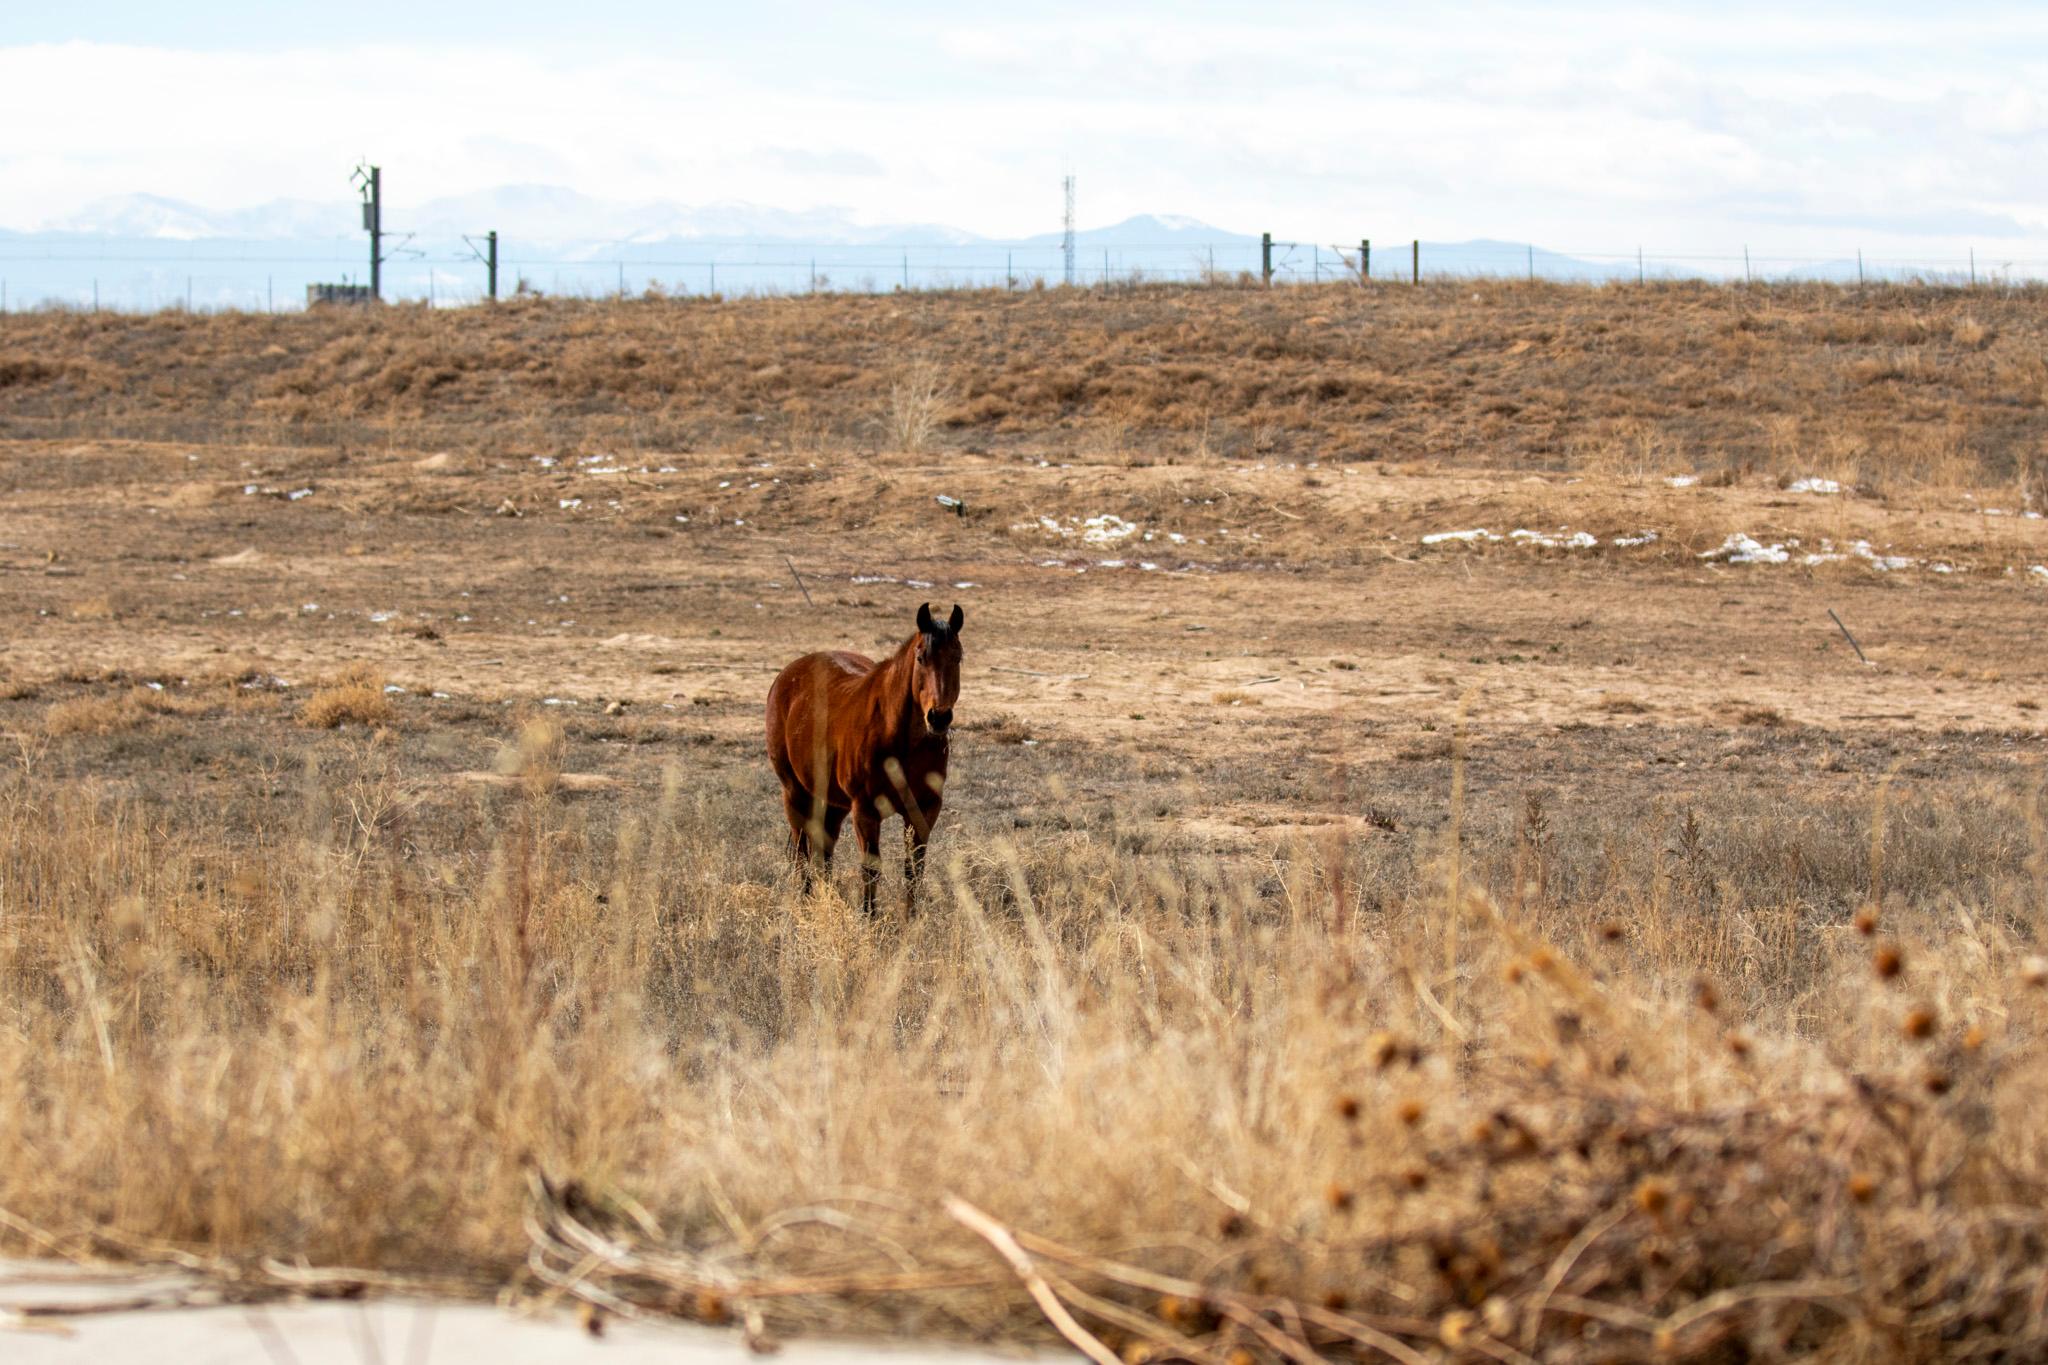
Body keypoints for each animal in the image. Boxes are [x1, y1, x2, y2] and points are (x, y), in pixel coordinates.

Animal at [765, 602, 964, 915]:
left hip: (834, 803)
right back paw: (806, 905)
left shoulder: (924, 809)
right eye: (921, 658)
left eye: (957, 657)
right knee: (801, 850)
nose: (939, 717)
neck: (901, 740)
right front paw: (869, 918)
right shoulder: (866, 810)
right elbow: (870, 870)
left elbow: (914, 869)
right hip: (794, 792)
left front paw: (912, 920)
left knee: (824, 851)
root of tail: (788, 675)